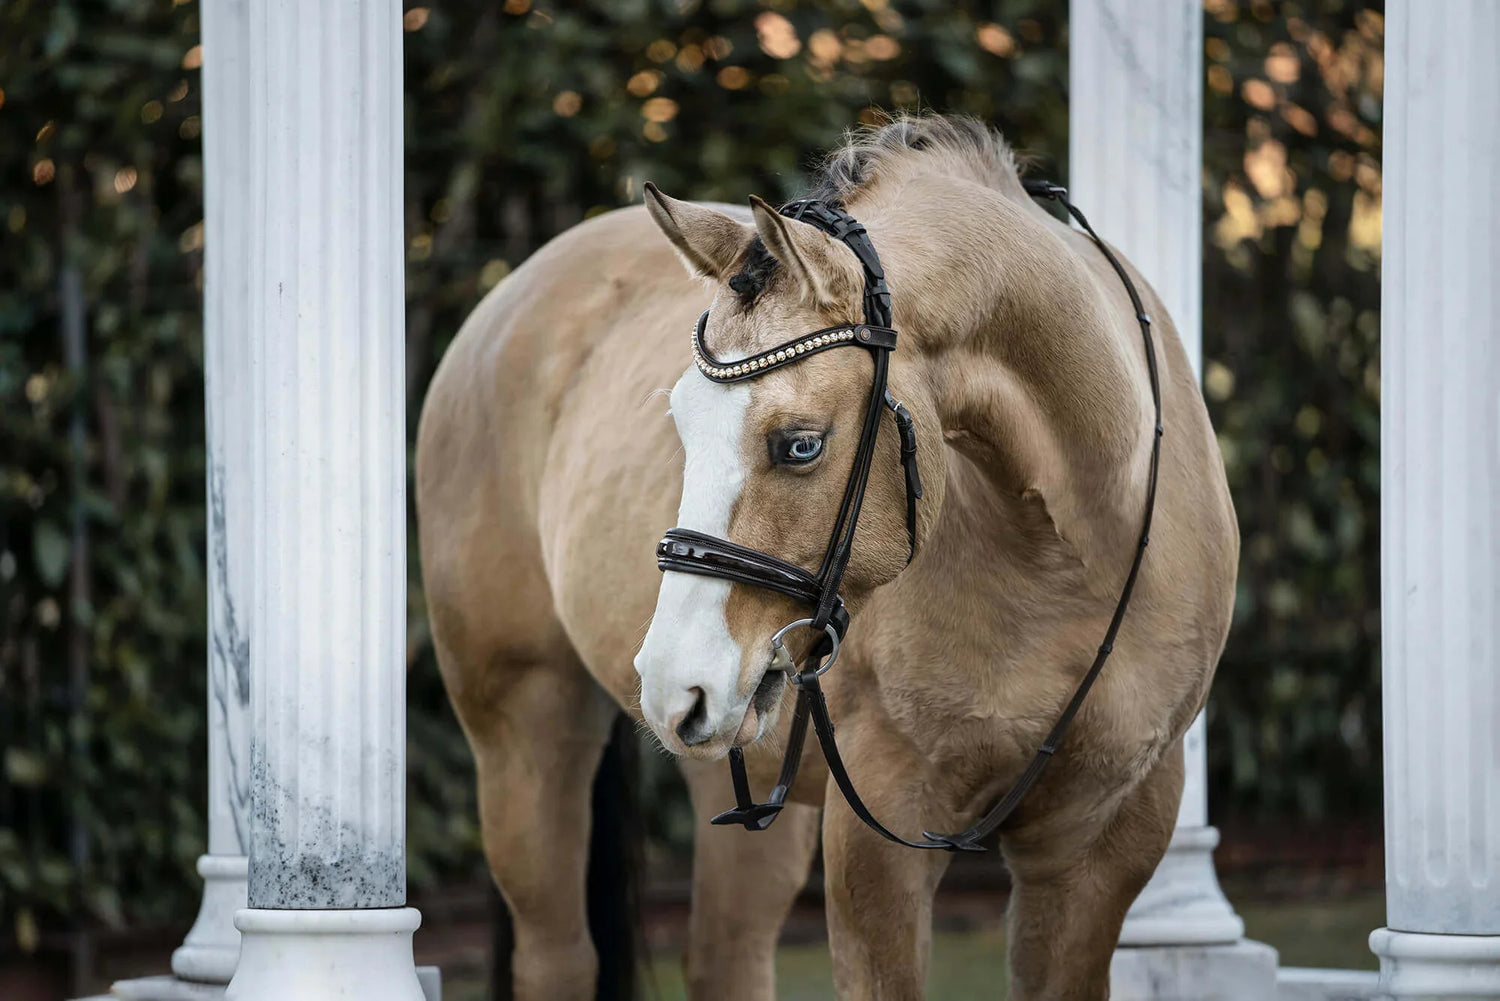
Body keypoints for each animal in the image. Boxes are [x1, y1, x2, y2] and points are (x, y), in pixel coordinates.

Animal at [415, 114, 1237, 1001]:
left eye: (800, 444)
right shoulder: (880, 836)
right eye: (680, 422)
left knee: (726, 954)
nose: (672, 681)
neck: (1065, 556)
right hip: (526, 724)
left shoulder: (1099, 845)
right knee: (558, 954)